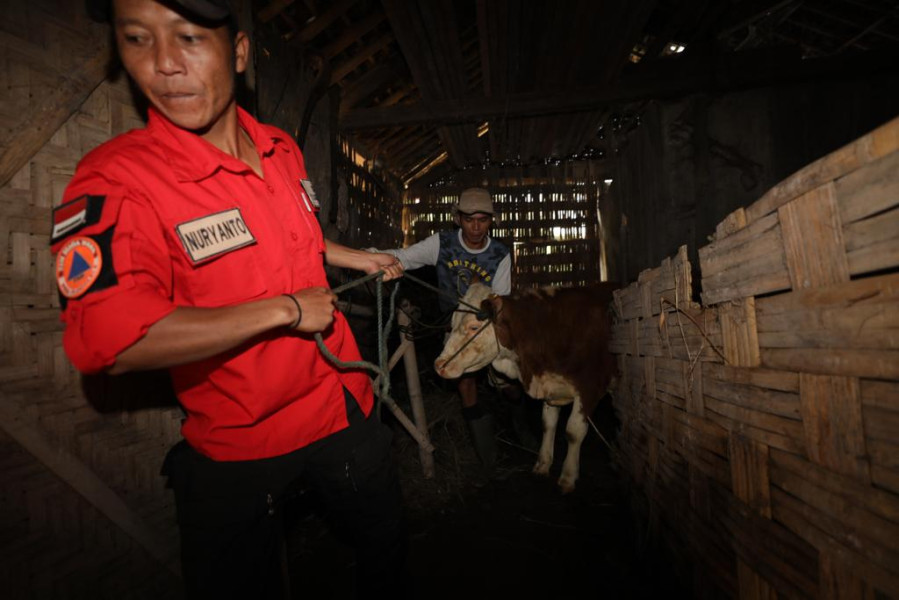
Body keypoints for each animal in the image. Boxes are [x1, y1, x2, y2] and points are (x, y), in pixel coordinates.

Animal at [436, 282, 620, 492]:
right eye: (452, 322)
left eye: (473, 327)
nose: (438, 365)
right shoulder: (550, 386)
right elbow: (548, 424)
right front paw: (542, 464)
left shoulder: (589, 388)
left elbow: (573, 431)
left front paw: (568, 476)